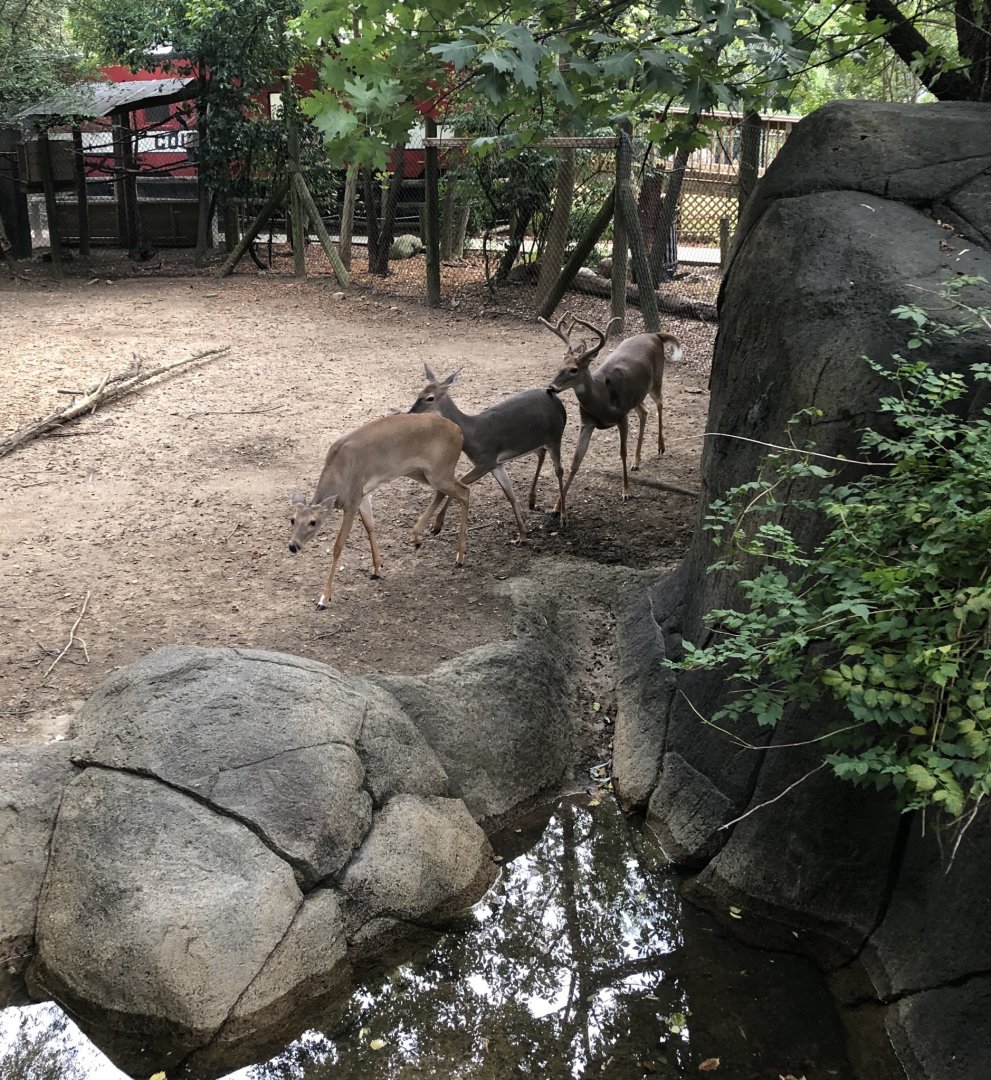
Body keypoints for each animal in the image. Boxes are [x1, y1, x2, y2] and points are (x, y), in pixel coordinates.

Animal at [288, 413, 470, 609]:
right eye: (292, 519)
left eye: (313, 522)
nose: (293, 546)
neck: (339, 472)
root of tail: (459, 431)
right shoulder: (363, 495)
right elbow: (370, 526)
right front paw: (376, 569)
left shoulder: (353, 499)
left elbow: (338, 546)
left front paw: (324, 598)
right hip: (422, 472)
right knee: (451, 489)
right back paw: (419, 536)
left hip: (439, 470)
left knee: (464, 491)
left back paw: (459, 557)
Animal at [407, 364, 568, 542]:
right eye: (418, 394)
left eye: (430, 398)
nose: (410, 413)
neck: (473, 434)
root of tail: (558, 403)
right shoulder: (496, 464)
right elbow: (510, 495)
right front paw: (522, 535)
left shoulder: (486, 460)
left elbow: (461, 482)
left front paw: (437, 525)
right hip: (536, 441)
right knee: (541, 453)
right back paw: (532, 501)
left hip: (556, 436)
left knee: (559, 470)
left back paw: (562, 516)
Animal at [539, 313, 684, 504]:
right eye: (559, 367)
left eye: (574, 369)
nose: (551, 388)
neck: (601, 399)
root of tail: (655, 335)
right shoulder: (587, 422)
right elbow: (576, 460)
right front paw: (557, 506)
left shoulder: (622, 417)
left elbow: (622, 452)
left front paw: (626, 491)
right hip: (635, 397)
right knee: (644, 411)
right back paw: (636, 462)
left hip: (656, 379)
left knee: (660, 403)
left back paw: (661, 446)